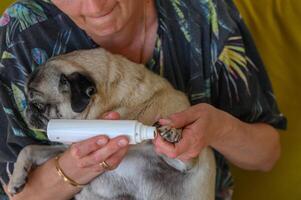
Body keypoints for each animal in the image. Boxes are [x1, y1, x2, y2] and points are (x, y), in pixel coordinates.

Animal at [7, 47, 216, 199]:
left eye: (38, 105)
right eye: (28, 101)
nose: (27, 109)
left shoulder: (186, 163)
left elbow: (176, 153)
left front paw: (171, 132)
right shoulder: (68, 147)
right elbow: (29, 149)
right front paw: (16, 179)